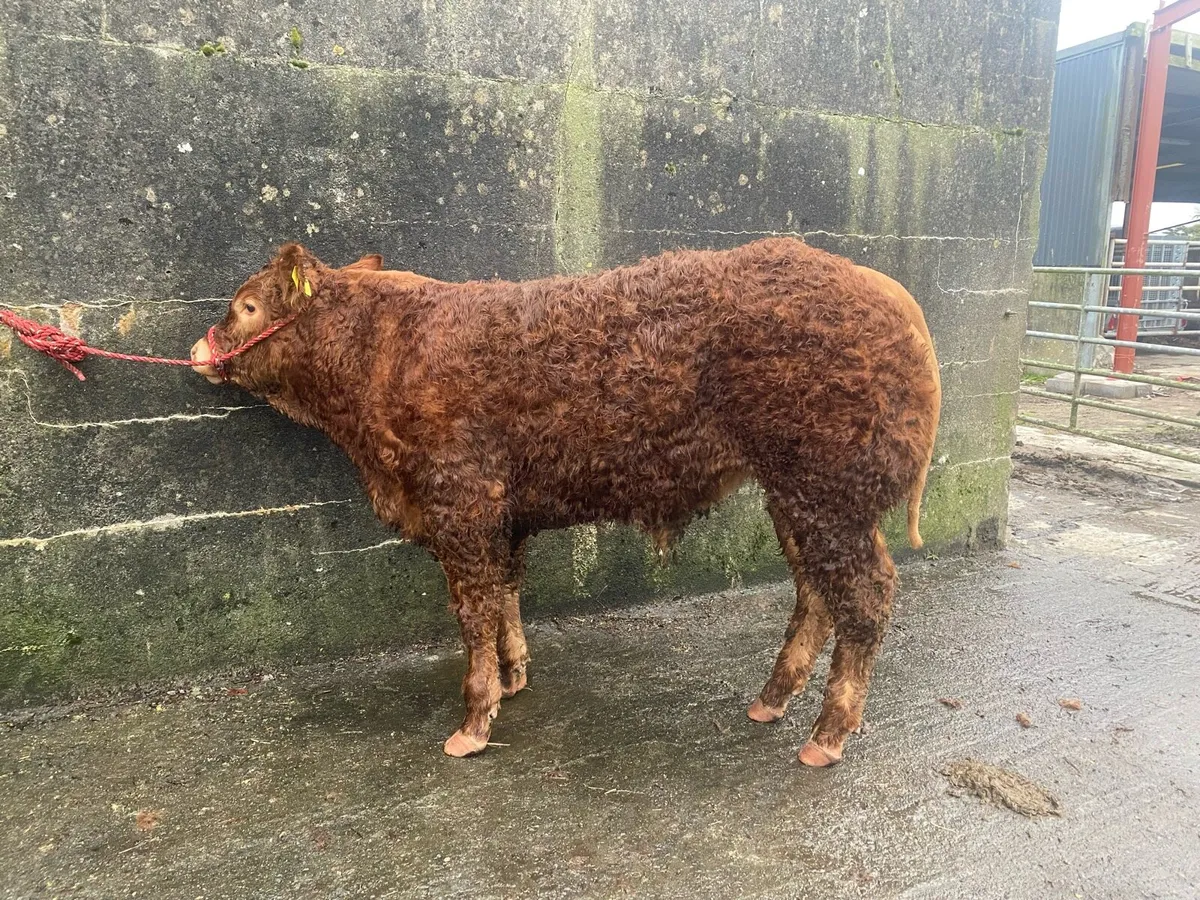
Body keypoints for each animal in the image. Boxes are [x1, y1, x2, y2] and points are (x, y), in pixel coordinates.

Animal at [190, 237, 941, 766]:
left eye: (249, 305)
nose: (198, 349)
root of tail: (896, 297)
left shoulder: (461, 498)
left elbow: (472, 609)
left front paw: (471, 725)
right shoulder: (505, 512)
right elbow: (506, 592)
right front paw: (515, 677)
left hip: (828, 488)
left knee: (866, 594)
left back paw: (826, 736)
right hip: (796, 493)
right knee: (816, 591)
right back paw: (770, 703)